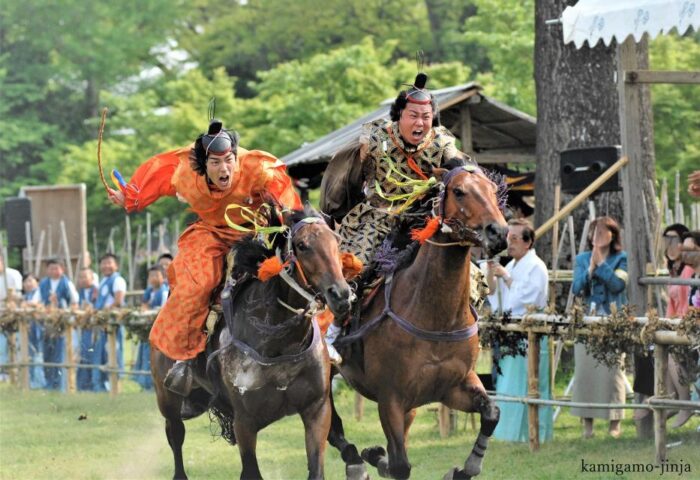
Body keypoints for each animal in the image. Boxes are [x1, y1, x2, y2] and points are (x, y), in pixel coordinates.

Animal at [151, 207, 352, 480]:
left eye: (336, 241)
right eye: (302, 245)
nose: (341, 295)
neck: (280, 342)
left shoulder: (317, 410)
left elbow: (317, 466)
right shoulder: (244, 422)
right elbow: (251, 470)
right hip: (168, 400)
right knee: (175, 435)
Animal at [328, 166, 508, 480]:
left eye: (492, 189)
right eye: (459, 191)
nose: (498, 232)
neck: (436, 319)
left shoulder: (454, 385)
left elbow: (491, 413)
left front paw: (464, 469)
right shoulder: (390, 398)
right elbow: (401, 465)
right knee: (330, 424)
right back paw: (355, 462)